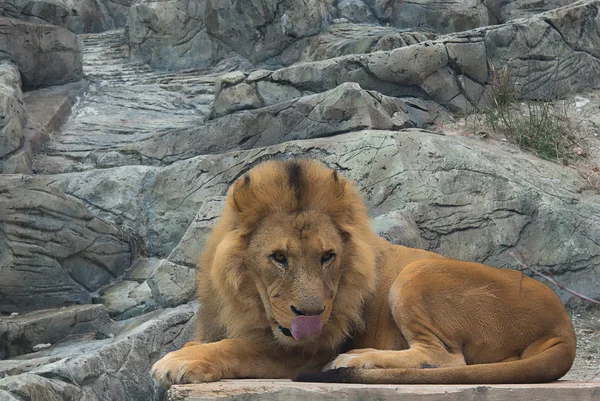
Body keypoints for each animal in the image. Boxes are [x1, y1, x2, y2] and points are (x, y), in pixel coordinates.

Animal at [151, 157, 576, 384]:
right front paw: (188, 351)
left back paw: (356, 359)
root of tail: (563, 325)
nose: (311, 315)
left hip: (417, 272)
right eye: (278, 257)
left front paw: (179, 361)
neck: (246, 301)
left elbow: (238, 347)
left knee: (444, 358)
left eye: (327, 256)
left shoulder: (310, 350)